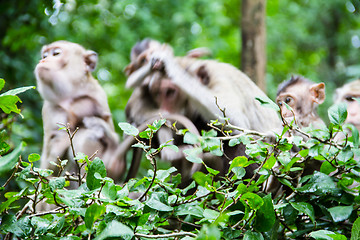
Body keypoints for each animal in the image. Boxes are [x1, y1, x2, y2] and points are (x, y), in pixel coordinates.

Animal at [35, 40, 125, 182]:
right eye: (44, 55)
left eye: (56, 53)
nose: (43, 60)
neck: (69, 95)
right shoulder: (49, 108)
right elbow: (51, 143)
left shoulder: (99, 96)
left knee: (88, 135)